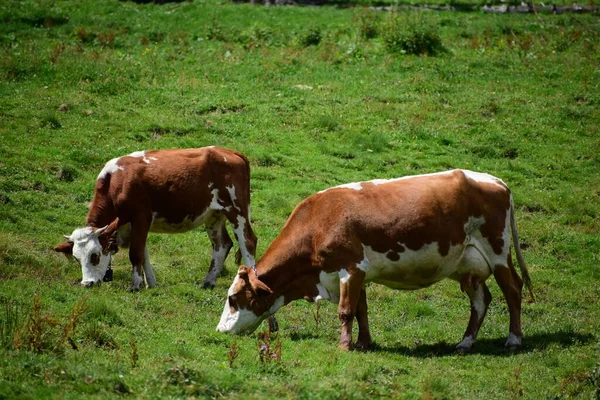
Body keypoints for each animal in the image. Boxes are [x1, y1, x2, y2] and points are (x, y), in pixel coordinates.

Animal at [53, 147, 255, 290]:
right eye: (77, 258)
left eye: (94, 255)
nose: (87, 283)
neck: (116, 182)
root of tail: (230, 152)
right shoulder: (132, 225)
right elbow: (143, 253)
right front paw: (150, 283)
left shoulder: (141, 217)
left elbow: (135, 253)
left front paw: (135, 286)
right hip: (214, 215)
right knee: (222, 245)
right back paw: (208, 282)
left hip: (236, 210)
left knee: (248, 242)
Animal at [219, 170, 536, 352]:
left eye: (233, 299)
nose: (220, 330)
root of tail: (494, 180)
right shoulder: (358, 274)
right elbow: (362, 310)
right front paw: (363, 343)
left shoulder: (350, 269)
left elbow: (346, 312)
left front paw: (344, 346)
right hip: (468, 265)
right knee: (481, 300)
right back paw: (466, 342)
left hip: (498, 252)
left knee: (513, 290)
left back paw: (513, 339)